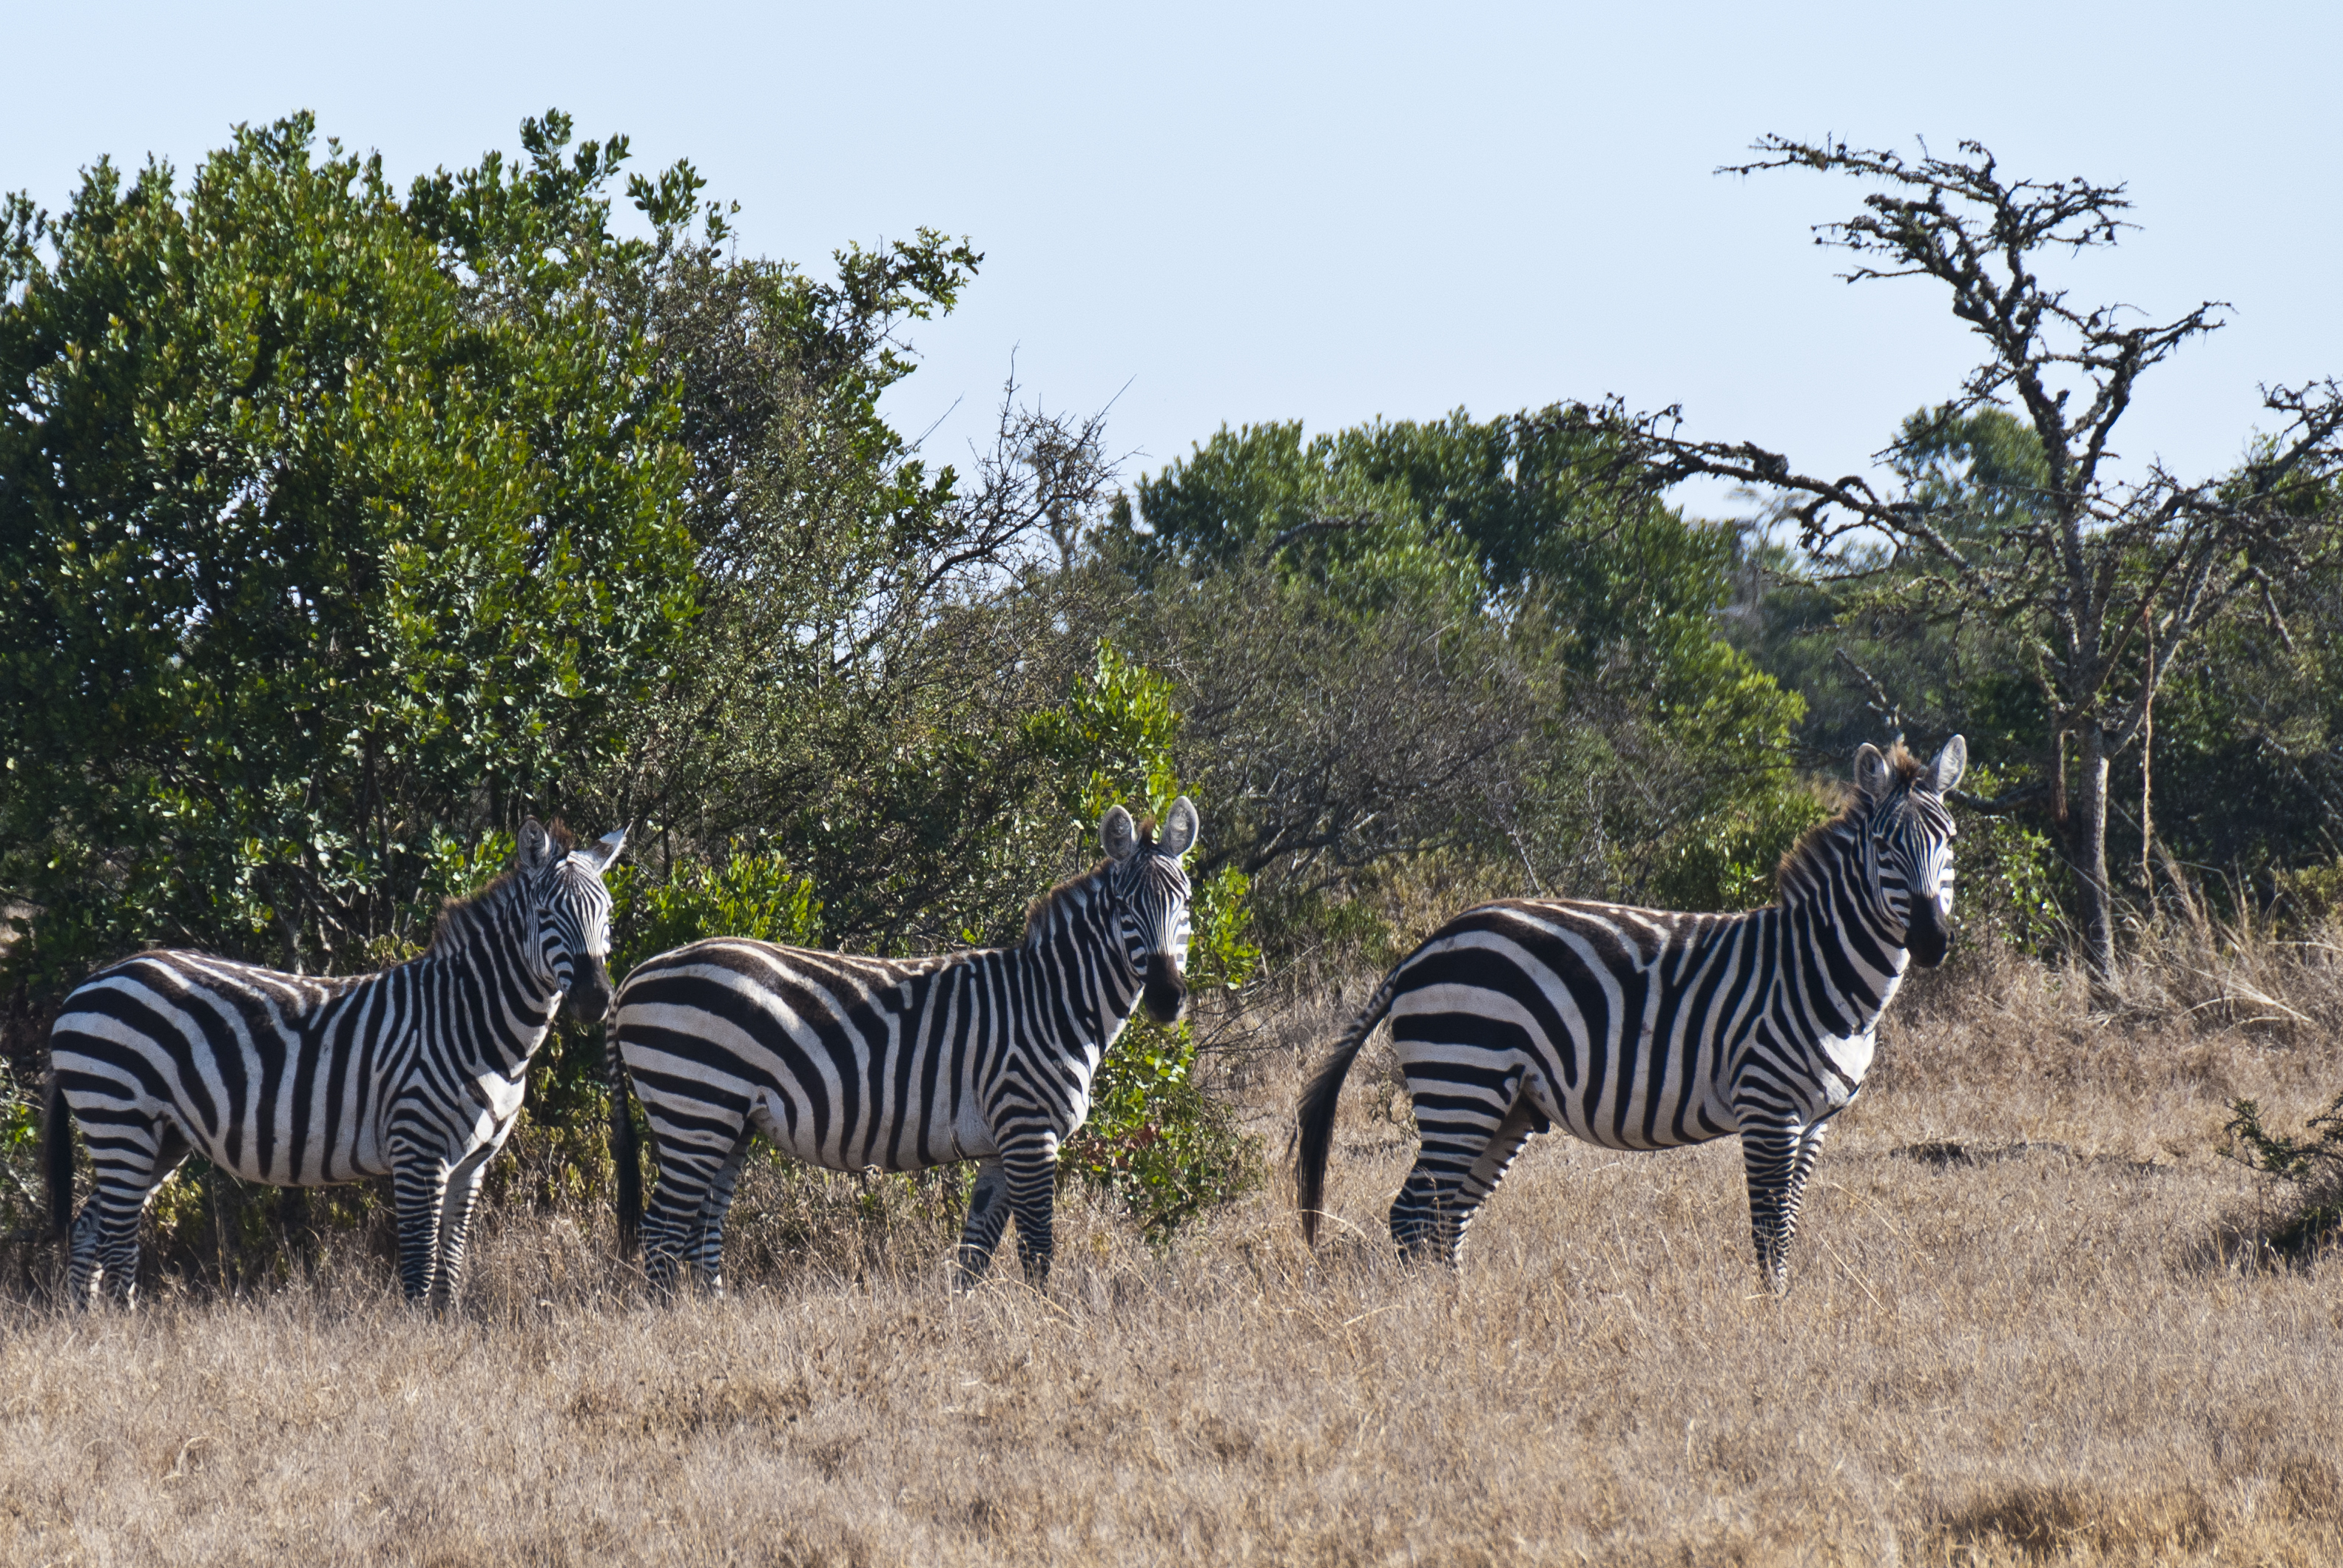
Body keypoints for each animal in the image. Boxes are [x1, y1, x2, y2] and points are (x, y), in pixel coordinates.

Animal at [43, 818, 625, 1309]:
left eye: (608, 916)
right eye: (548, 917)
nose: (596, 1000)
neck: (471, 1021)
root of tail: (88, 984)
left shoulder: (474, 1161)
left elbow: (451, 1264)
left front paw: (447, 1332)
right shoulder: (417, 1149)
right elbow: (420, 1264)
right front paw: (422, 1347)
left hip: (160, 1134)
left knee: (92, 1226)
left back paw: (90, 1332)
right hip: (119, 1116)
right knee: (117, 1237)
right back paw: (123, 1326)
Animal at [609, 798, 1198, 1293]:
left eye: (1186, 904)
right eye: (1124, 909)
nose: (1168, 998)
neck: (1051, 1002)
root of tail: (634, 975)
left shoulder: (999, 1143)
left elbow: (975, 1253)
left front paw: (969, 1328)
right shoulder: (1028, 1127)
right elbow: (1037, 1248)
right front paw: (1044, 1321)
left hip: (728, 1121)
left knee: (700, 1230)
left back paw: (710, 1312)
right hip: (695, 1106)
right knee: (663, 1232)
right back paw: (670, 1323)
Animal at [1295, 739, 1963, 1291]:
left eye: (1949, 841)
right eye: (1883, 847)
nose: (1931, 941)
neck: (1819, 971)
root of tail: (1423, 948)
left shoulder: (1817, 1119)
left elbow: (1790, 1223)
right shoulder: (1768, 1107)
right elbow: (1769, 1231)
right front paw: (1773, 1319)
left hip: (1506, 1104)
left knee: (1444, 1217)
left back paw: (1456, 1312)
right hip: (1463, 1078)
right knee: (1413, 1213)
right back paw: (1435, 1321)